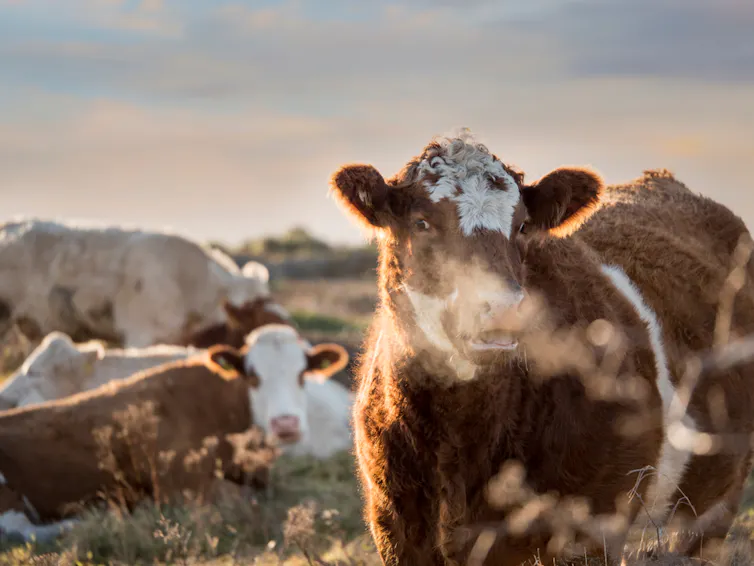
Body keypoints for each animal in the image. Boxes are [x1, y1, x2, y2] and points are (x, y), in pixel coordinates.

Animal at [328, 131, 754, 566]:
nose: (501, 309)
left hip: (716, 500)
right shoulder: (395, 525)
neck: (458, 442)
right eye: (421, 223)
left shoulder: (592, 528)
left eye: (520, 226)